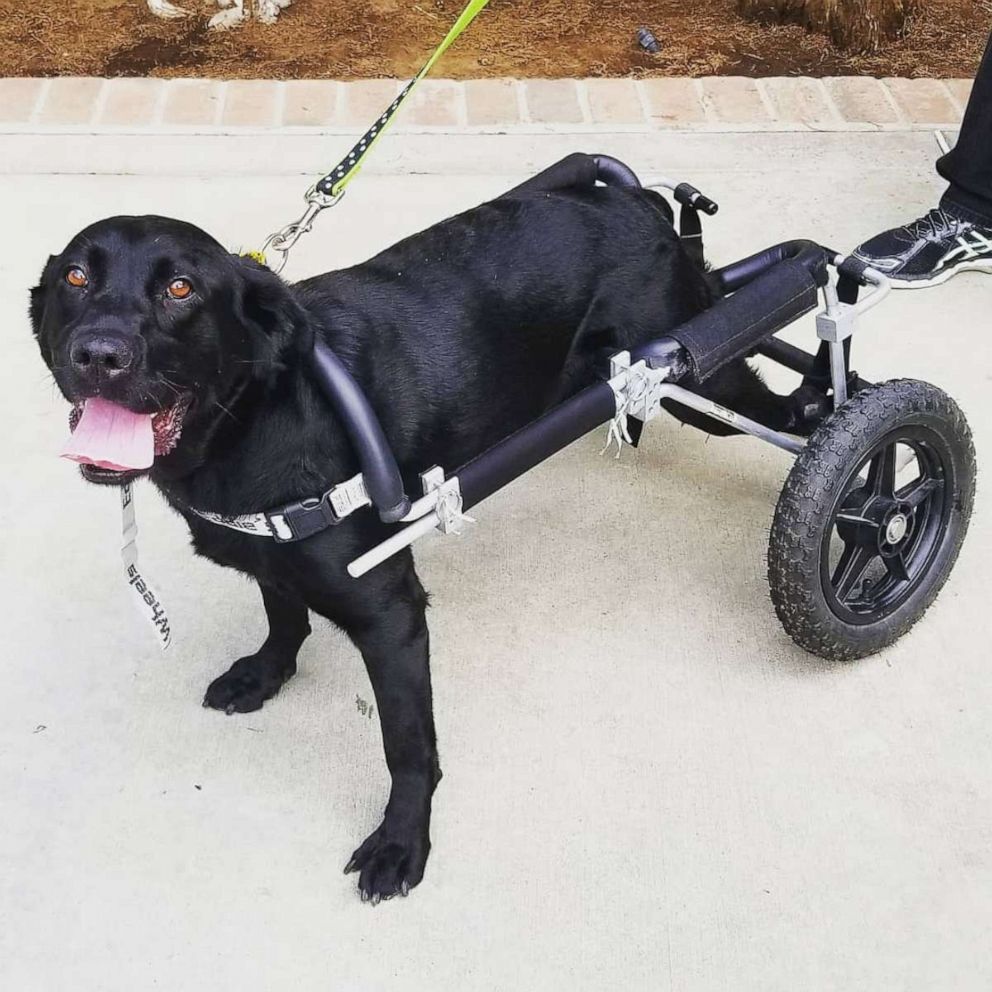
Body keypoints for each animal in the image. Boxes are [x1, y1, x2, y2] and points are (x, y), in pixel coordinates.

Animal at [31, 159, 804, 904]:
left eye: (181, 288)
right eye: (75, 277)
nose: (98, 354)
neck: (254, 418)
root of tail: (639, 200)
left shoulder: (391, 617)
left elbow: (406, 746)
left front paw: (401, 843)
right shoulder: (272, 551)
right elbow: (283, 612)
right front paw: (263, 673)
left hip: (700, 376)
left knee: (806, 405)